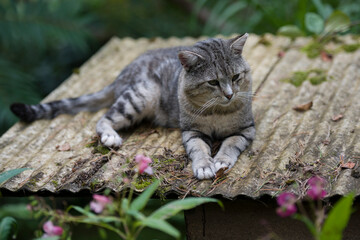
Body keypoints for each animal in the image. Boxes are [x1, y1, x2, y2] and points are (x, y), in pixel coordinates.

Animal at [10, 33, 256, 180]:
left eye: (236, 77)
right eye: (213, 82)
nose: (229, 94)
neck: (217, 111)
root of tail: (123, 73)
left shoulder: (245, 130)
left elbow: (230, 143)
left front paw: (221, 160)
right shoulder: (192, 131)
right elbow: (199, 149)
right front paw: (205, 165)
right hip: (140, 97)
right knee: (103, 119)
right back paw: (110, 136)